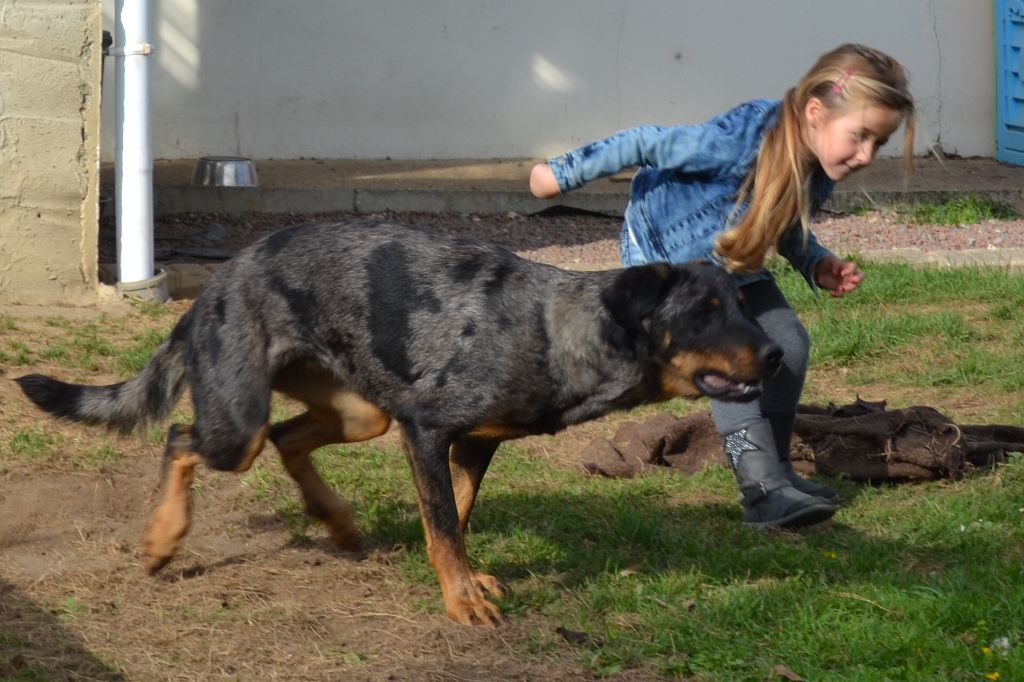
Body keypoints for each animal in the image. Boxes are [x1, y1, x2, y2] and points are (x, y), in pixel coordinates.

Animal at [19, 218, 778, 622]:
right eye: (704, 311)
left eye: (743, 304)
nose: (773, 353)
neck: (558, 329)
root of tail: (214, 286)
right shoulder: (427, 428)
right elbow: (443, 523)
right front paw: (462, 600)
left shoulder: (470, 444)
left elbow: (457, 515)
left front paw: (466, 580)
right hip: (239, 422)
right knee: (184, 438)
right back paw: (162, 541)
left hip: (360, 413)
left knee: (288, 439)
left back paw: (339, 523)